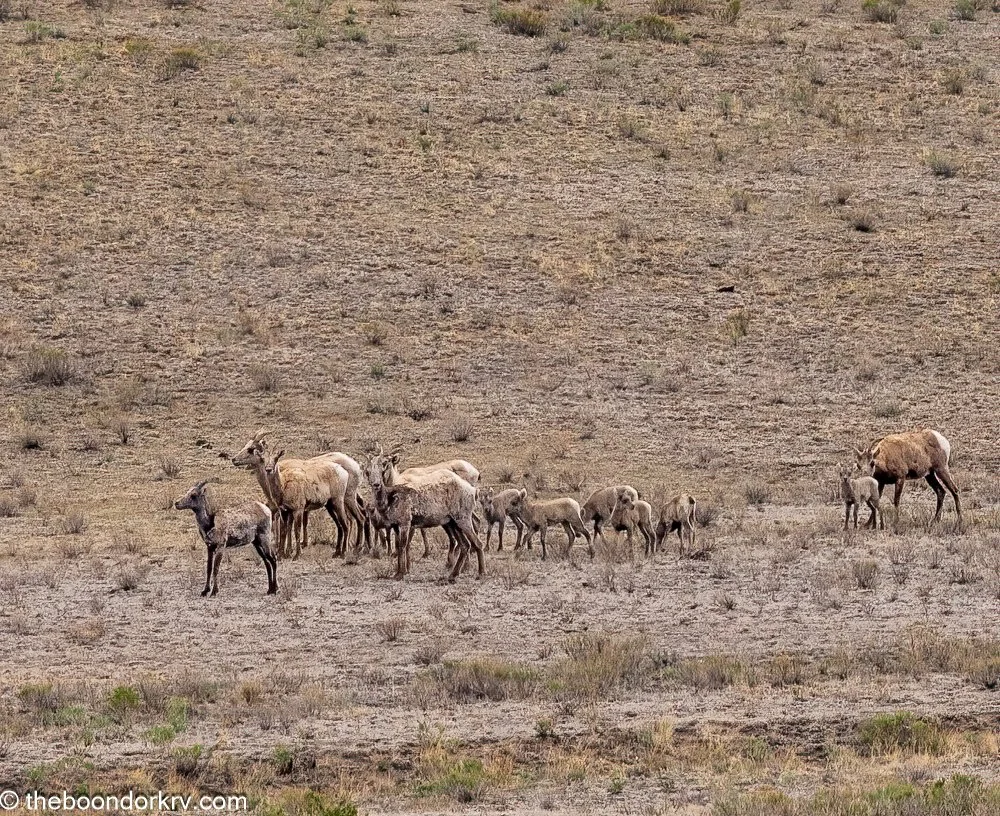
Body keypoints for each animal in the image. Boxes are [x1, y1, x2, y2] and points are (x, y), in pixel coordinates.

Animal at [365, 451, 484, 581]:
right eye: (367, 471)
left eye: (384, 465)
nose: (376, 484)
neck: (390, 498)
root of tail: (473, 491)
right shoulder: (396, 526)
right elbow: (399, 545)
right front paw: (399, 572)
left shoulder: (406, 523)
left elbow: (403, 546)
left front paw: (401, 573)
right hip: (454, 523)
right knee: (465, 545)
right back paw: (453, 574)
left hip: (463, 520)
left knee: (477, 543)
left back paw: (480, 573)